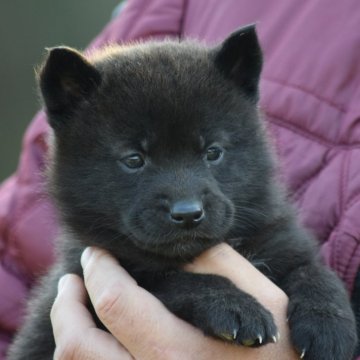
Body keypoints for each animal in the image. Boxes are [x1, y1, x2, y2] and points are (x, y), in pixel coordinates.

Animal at [7, 26, 358, 360]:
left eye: (213, 151)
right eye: (134, 159)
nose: (188, 213)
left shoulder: (284, 242)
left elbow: (314, 273)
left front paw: (329, 325)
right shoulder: (96, 278)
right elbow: (172, 280)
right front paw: (233, 306)